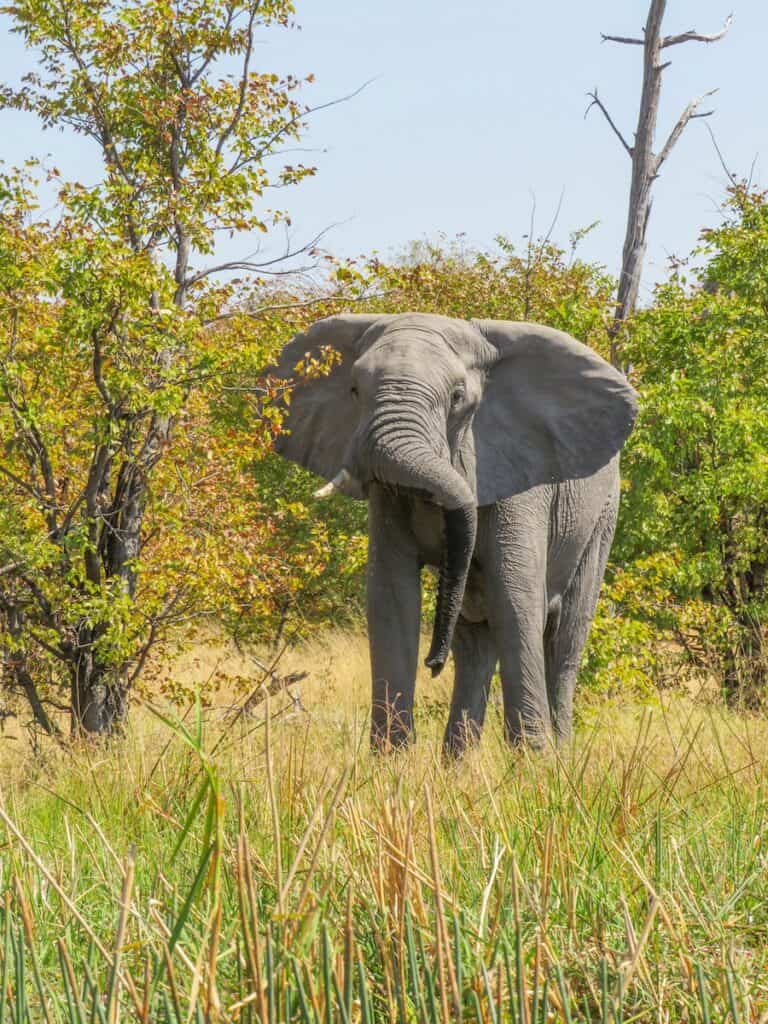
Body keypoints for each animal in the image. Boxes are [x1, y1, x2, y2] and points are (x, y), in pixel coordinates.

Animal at [270, 315, 638, 757]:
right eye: (355, 390)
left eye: (458, 397)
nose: (432, 664)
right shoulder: (389, 501)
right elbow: (391, 598)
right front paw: (389, 764)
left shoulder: (519, 474)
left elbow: (515, 599)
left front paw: (534, 766)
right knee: (475, 644)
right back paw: (457, 764)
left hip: (603, 517)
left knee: (564, 639)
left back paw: (560, 757)